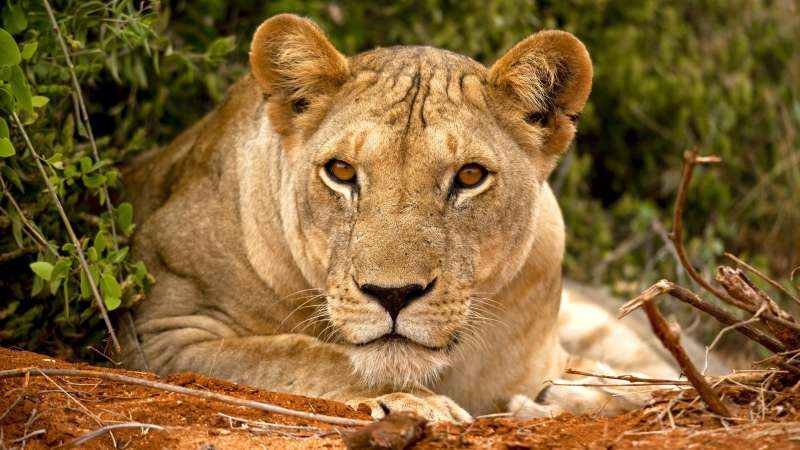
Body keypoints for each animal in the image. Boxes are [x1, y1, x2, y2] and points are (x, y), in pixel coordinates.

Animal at [120, 14, 698, 421]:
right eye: (341, 171)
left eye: (469, 176)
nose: (393, 295)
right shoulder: (159, 335)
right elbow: (301, 355)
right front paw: (420, 403)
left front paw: (567, 396)